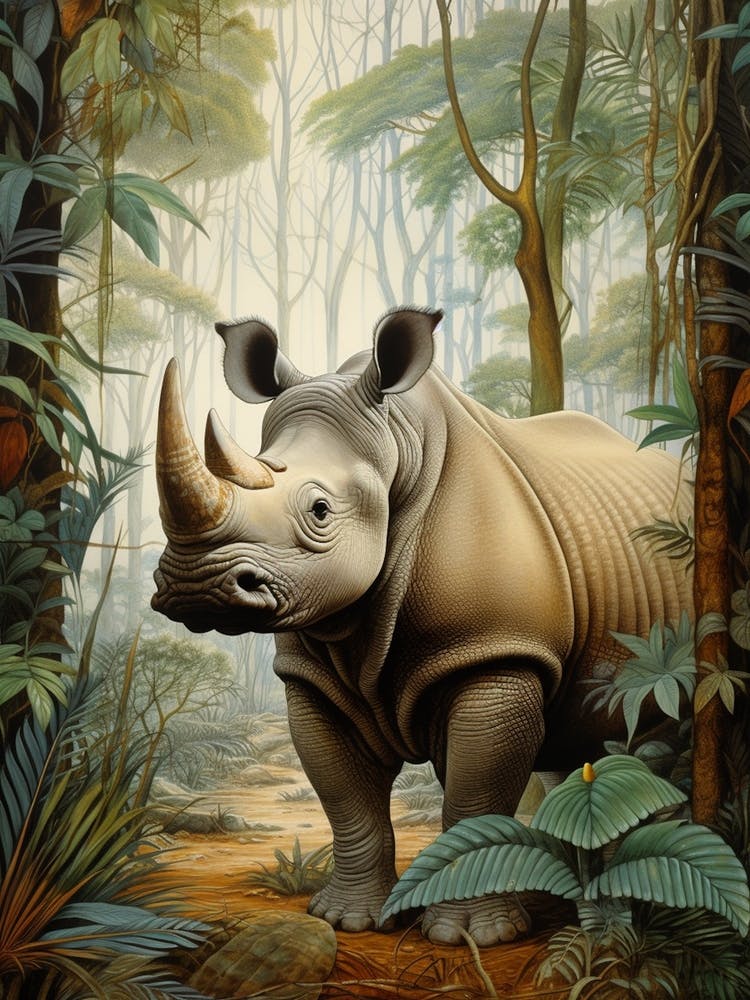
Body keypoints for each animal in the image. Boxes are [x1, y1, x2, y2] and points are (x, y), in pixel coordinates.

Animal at [152, 307, 693, 946]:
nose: (194, 586)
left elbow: (475, 794)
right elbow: (345, 798)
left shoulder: (497, 652)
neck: (397, 447)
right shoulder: (312, 675)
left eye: (319, 511)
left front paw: (474, 935)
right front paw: (348, 921)